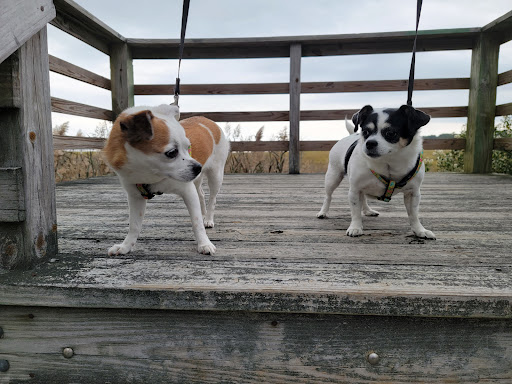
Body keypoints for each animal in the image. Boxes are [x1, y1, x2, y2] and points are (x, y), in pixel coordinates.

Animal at [103, 103, 229, 256]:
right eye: (172, 153)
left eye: (188, 147)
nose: (198, 167)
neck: (150, 174)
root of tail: (209, 121)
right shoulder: (135, 196)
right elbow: (134, 225)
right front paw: (126, 246)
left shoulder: (188, 191)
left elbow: (196, 222)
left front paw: (204, 244)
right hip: (197, 180)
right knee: (201, 194)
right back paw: (204, 212)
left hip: (215, 175)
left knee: (212, 198)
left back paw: (209, 219)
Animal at [318, 103, 434, 238]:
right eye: (365, 132)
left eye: (391, 133)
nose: (370, 143)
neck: (389, 162)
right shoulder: (354, 190)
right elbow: (355, 212)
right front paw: (355, 227)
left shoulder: (413, 193)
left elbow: (413, 214)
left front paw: (420, 230)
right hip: (333, 177)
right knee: (328, 196)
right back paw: (323, 212)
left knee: (363, 199)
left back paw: (368, 210)